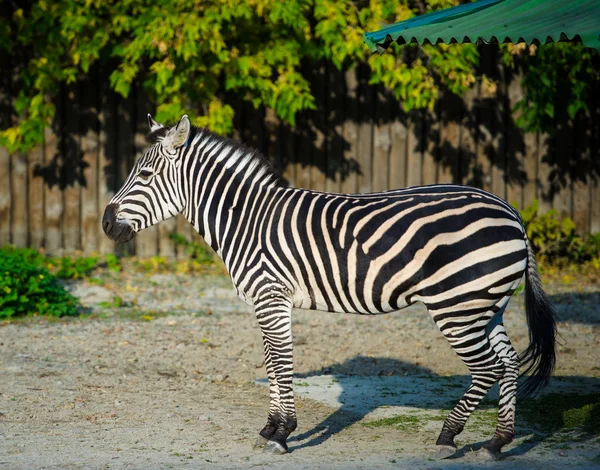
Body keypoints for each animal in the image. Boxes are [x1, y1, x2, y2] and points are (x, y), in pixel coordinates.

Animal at [103, 114, 556, 458]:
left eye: (145, 174)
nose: (106, 224)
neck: (247, 219)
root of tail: (511, 211)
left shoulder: (271, 297)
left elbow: (281, 362)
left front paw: (283, 433)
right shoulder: (268, 302)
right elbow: (272, 363)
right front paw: (271, 428)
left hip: (456, 306)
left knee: (488, 368)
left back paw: (448, 437)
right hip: (484, 305)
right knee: (509, 362)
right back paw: (497, 442)